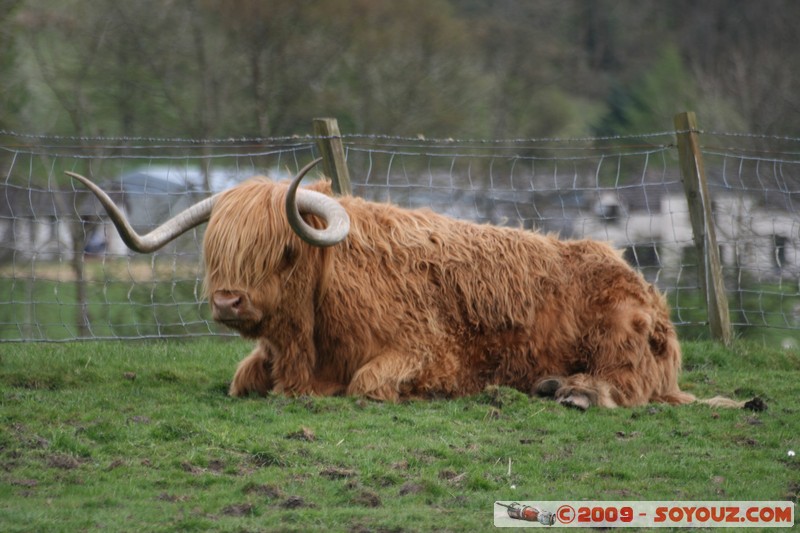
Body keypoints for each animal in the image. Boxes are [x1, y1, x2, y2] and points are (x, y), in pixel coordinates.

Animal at [67, 160, 745, 409]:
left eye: (283, 250)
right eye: (217, 252)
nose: (228, 300)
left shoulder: (425, 351)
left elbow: (368, 385)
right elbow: (242, 378)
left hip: (618, 333)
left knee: (628, 386)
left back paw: (572, 391)